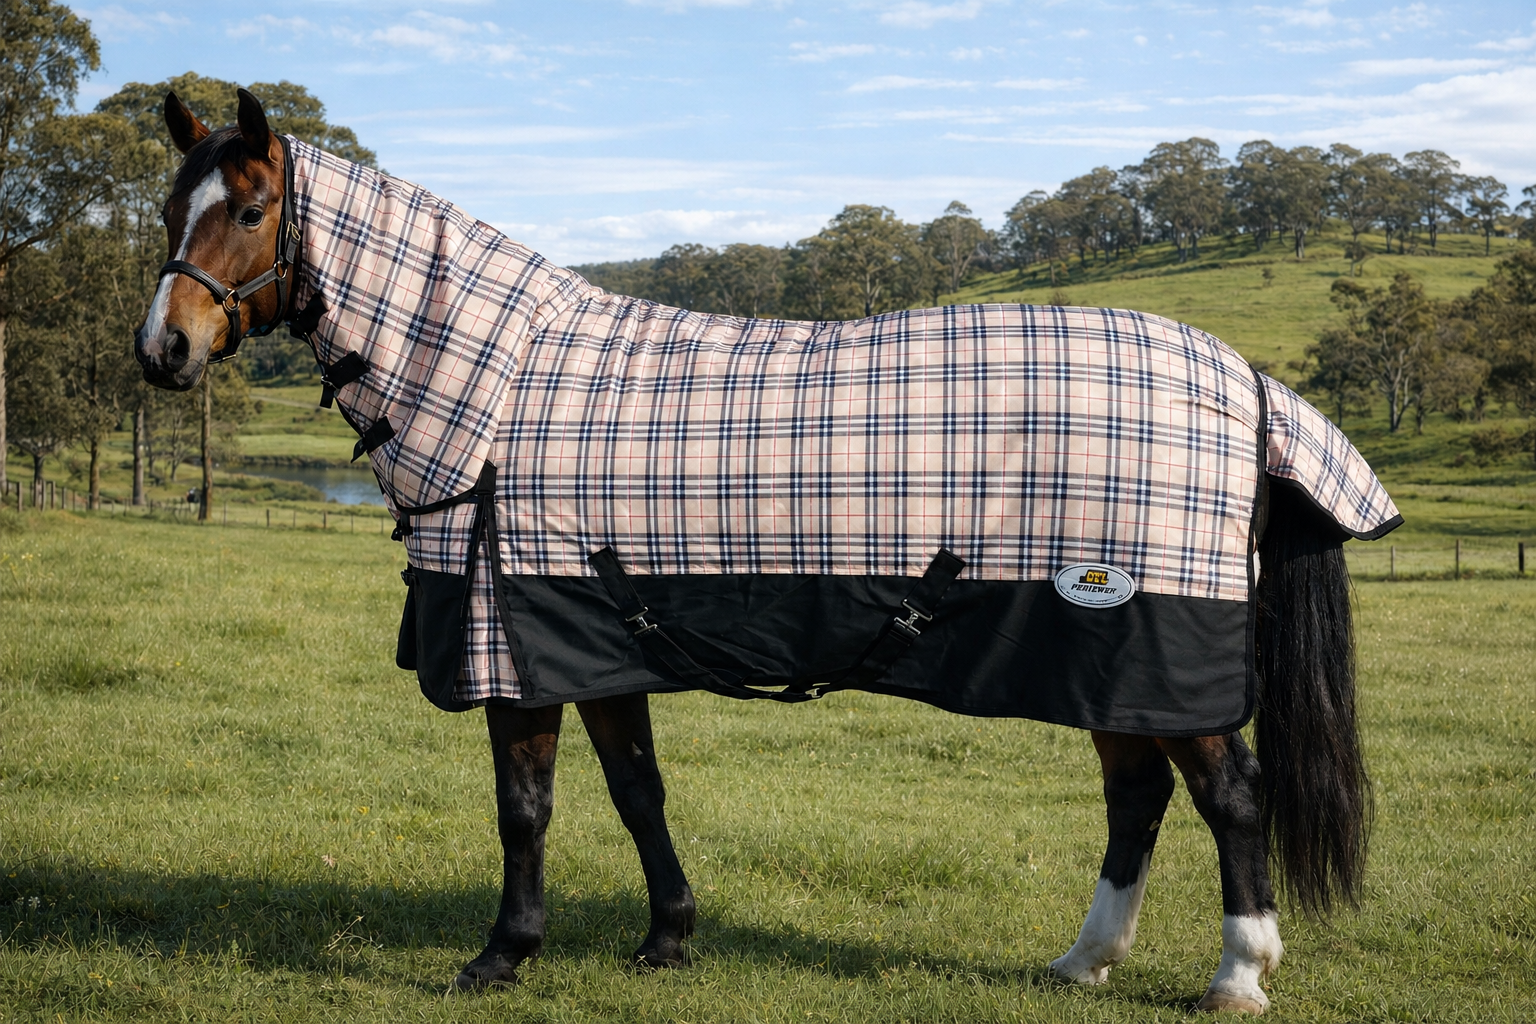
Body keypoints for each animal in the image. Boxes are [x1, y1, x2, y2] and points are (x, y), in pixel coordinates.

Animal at [134, 89, 1400, 1014]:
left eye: (250, 210)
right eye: (164, 212)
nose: (164, 349)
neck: (491, 390)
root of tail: (1246, 381)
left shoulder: (513, 651)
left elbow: (525, 809)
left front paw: (502, 954)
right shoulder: (595, 635)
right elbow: (637, 792)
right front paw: (667, 937)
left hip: (1150, 642)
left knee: (1232, 797)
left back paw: (1237, 974)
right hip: (1106, 658)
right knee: (1136, 798)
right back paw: (1082, 961)